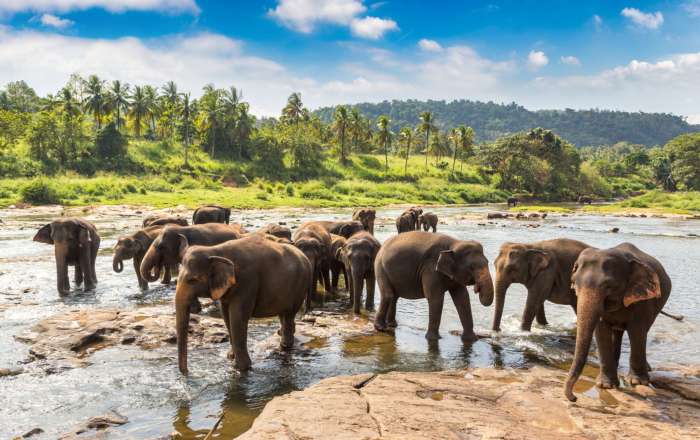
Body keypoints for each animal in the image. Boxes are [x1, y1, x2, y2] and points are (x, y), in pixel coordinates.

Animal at [175, 234, 312, 373]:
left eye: (193, 280)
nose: (187, 372)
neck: (215, 250)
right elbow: (226, 316)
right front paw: (230, 357)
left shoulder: (247, 281)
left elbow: (237, 317)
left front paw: (240, 367)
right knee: (283, 314)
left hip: (300, 286)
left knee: (289, 313)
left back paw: (285, 346)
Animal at [564, 243, 672, 402]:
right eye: (575, 283)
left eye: (609, 286)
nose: (574, 398)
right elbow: (601, 331)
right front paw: (605, 385)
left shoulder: (642, 301)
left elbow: (637, 331)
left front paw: (638, 382)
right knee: (617, 333)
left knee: (643, 330)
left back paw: (646, 368)